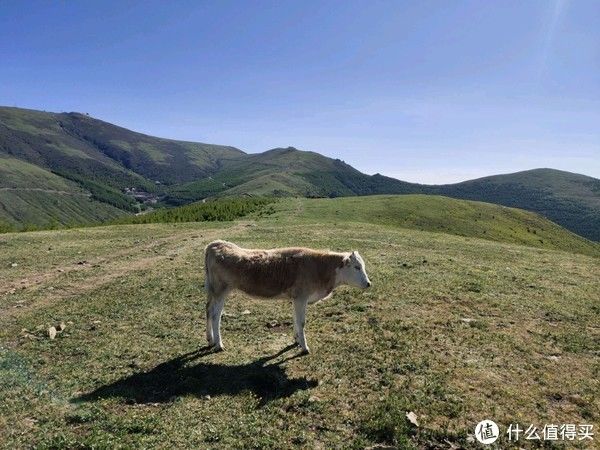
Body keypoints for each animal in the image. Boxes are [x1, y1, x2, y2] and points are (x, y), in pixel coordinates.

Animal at [204, 241, 370, 354]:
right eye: (357, 267)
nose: (369, 283)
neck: (319, 267)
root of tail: (216, 244)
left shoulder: (296, 298)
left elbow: (295, 319)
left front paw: (297, 340)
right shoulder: (301, 297)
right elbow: (301, 321)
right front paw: (304, 347)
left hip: (213, 291)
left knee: (208, 310)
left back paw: (210, 340)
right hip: (221, 291)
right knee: (216, 315)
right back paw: (219, 344)